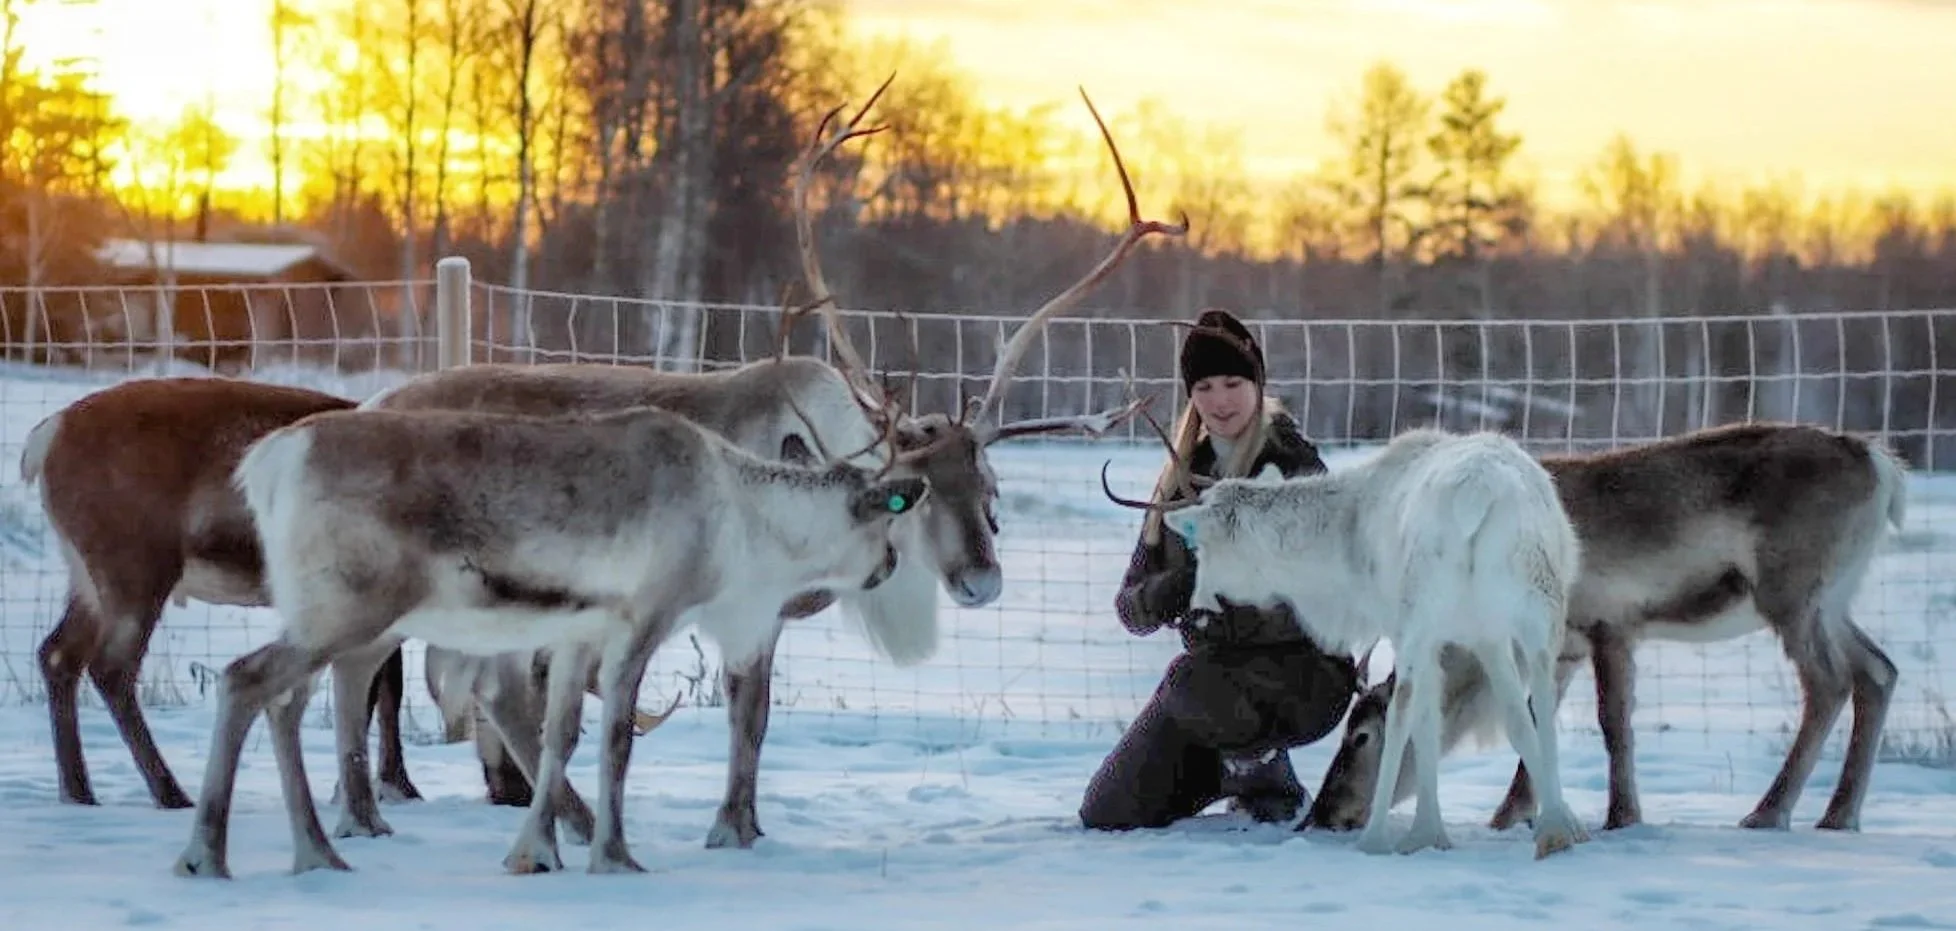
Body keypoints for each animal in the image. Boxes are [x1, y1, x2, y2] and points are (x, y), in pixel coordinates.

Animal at [17, 376, 424, 811]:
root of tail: (44, 439)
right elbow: (378, 689)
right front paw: (377, 789)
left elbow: (388, 686)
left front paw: (396, 786)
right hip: (134, 562)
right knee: (110, 667)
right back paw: (170, 793)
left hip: (87, 576)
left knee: (58, 654)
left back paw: (79, 792)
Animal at [345, 77, 1185, 850]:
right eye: (915, 489)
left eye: (990, 487)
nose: (982, 579)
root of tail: (367, 403)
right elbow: (742, 709)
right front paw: (728, 829)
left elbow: (757, 718)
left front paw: (746, 826)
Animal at [1100, 411, 1589, 859]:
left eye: (1200, 547)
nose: (1197, 612)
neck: (1344, 547)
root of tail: (1481, 495)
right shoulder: (1484, 635)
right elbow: (1515, 722)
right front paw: (1559, 824)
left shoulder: (1416, 632)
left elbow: (1420, 722)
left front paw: (1426, 832)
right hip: (1539, 614)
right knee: (1543, 705)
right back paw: (1555, 830)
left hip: (1423, 617)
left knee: (1403, 710)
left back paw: (1375, 838)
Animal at [1304, 422, 1907, 840]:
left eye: (1361, 736)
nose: (1322, 814)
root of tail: (1879, 465)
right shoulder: (1562, 648)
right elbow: (1532, 722)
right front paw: (1511, 816)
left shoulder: (1610, 623)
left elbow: (1613, 725)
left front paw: (1622, 816)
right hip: (1833, 598)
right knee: (1878, 670)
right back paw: (1839, 814)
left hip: (1792, 591)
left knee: (1829, 682)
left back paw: (1769, 812)